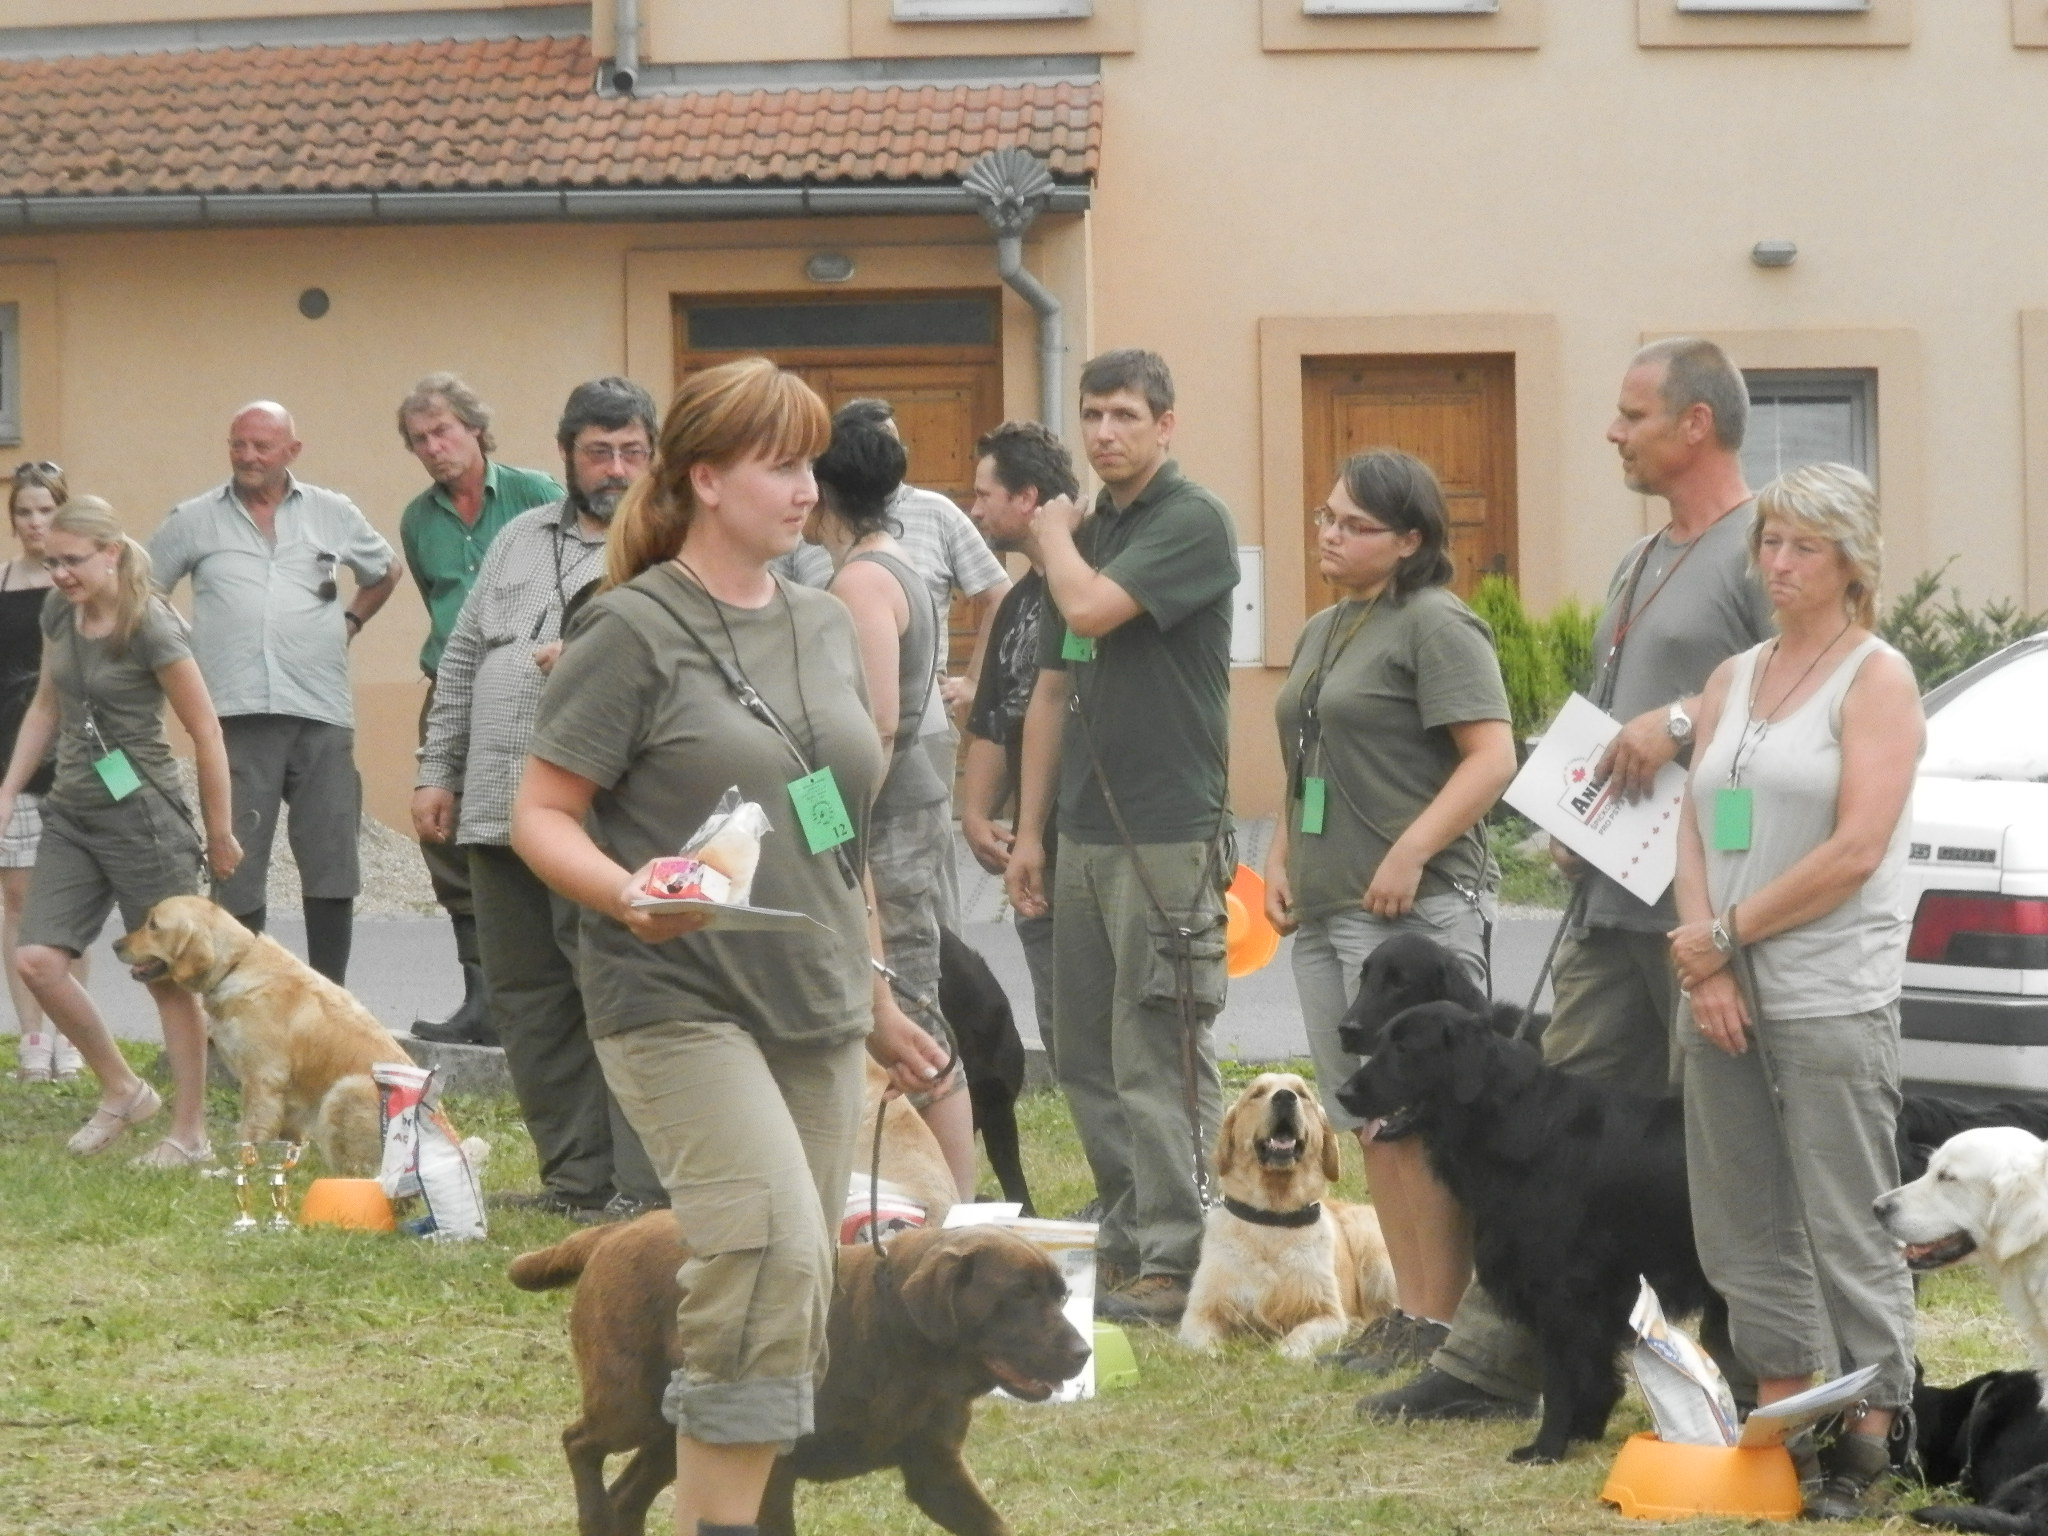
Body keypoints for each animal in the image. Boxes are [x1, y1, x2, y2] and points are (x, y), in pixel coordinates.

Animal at [115, 888, 415, 1179]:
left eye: (153, 925)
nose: (115, 945)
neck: (236, 965)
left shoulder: (262, 1078)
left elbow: (249, 1133)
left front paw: (233, 1172)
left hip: (345, 1090)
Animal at [1179, 1073, 1400, 1359]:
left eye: (1303, 1093)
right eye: (1257, 1093)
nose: (1285, 1097)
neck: (1273, 1219)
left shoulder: (1327, 1313)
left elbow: (1304, 1334)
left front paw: (1289, 1351)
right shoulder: (1200, 1311)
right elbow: (1202, 1343)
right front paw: (1214, 1353)